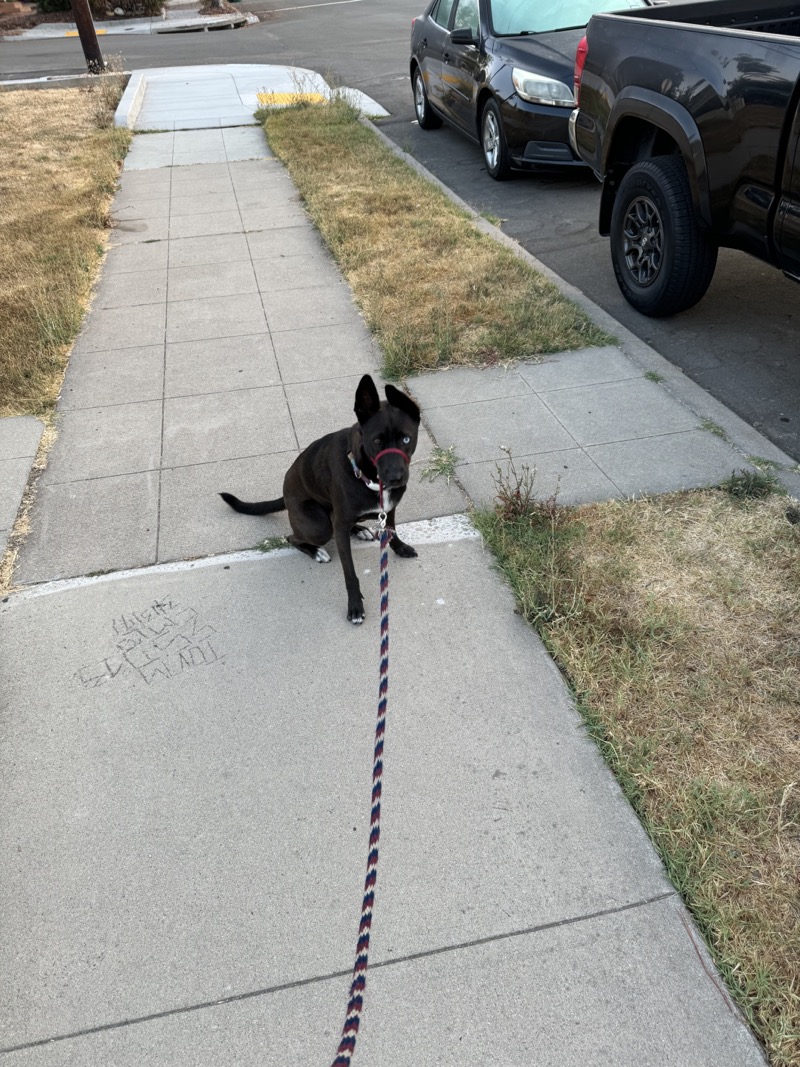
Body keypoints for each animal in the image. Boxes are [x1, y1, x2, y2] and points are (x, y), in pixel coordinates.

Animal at [219, 375, 420, 623]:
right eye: (376, 441)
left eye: (406, 439)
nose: (395, 478)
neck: (366, 474)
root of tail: (285, 495)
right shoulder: (344, 527)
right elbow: (350, 573)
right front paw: (355, 606)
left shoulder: (389, 509)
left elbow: (392, 532)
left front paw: (400, 547)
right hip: (319, 527)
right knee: (293, 537)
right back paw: (316, 551)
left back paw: (360, 530)